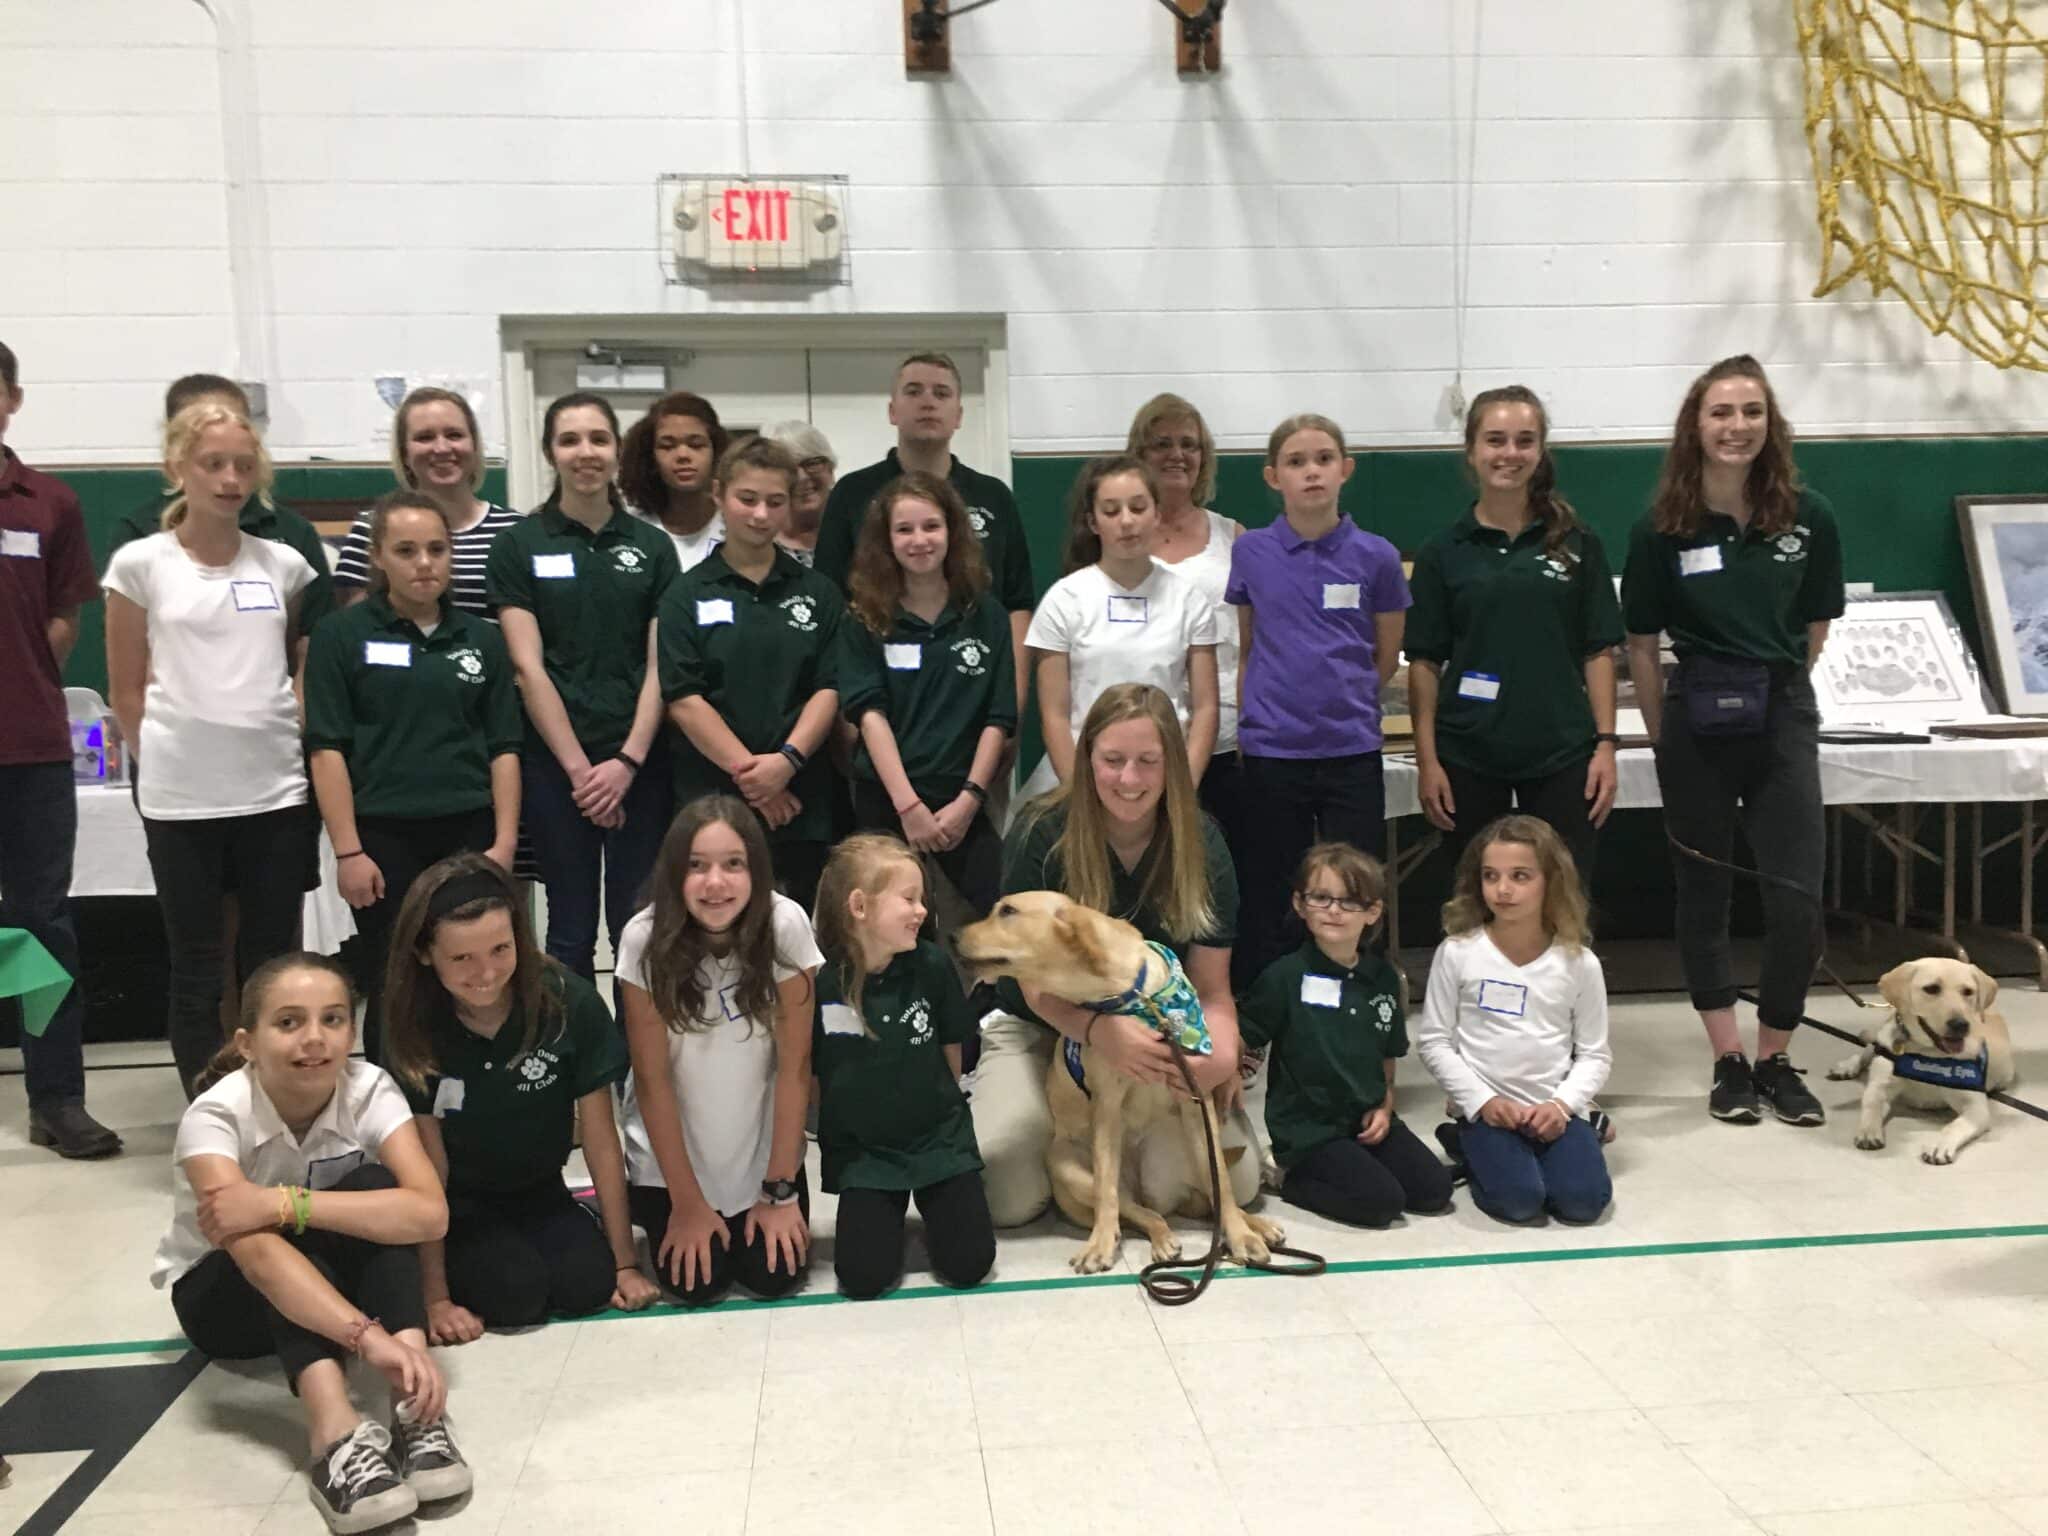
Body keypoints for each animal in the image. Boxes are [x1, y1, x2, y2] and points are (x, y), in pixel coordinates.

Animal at [955, 892, 1283, 1274]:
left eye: (1007, 911)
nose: (952, 936)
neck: (1135, 997)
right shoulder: (1107, 1107)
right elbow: (1107, 1193)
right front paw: (1098, 1245)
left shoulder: (1195, 1100)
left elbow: (1223, 1187)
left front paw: (1241, 1236)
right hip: (1067, 1165)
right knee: (1139, 1211)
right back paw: (1156, 1239)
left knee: (1208, 1190)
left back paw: (1254, 1225)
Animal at [1826, 958, 2016, 1164]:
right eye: (1931, 989)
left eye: (1968, 991)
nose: (1960, 1024)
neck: (1927, 1053)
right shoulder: (1879, 1086)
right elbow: (1871, 1106)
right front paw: (1868, 1130)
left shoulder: (1976, 1108)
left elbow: (1954, 1126)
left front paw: (1939, 1145)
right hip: (1881, 1038)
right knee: (1867, 1050)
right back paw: (1847, 1066)